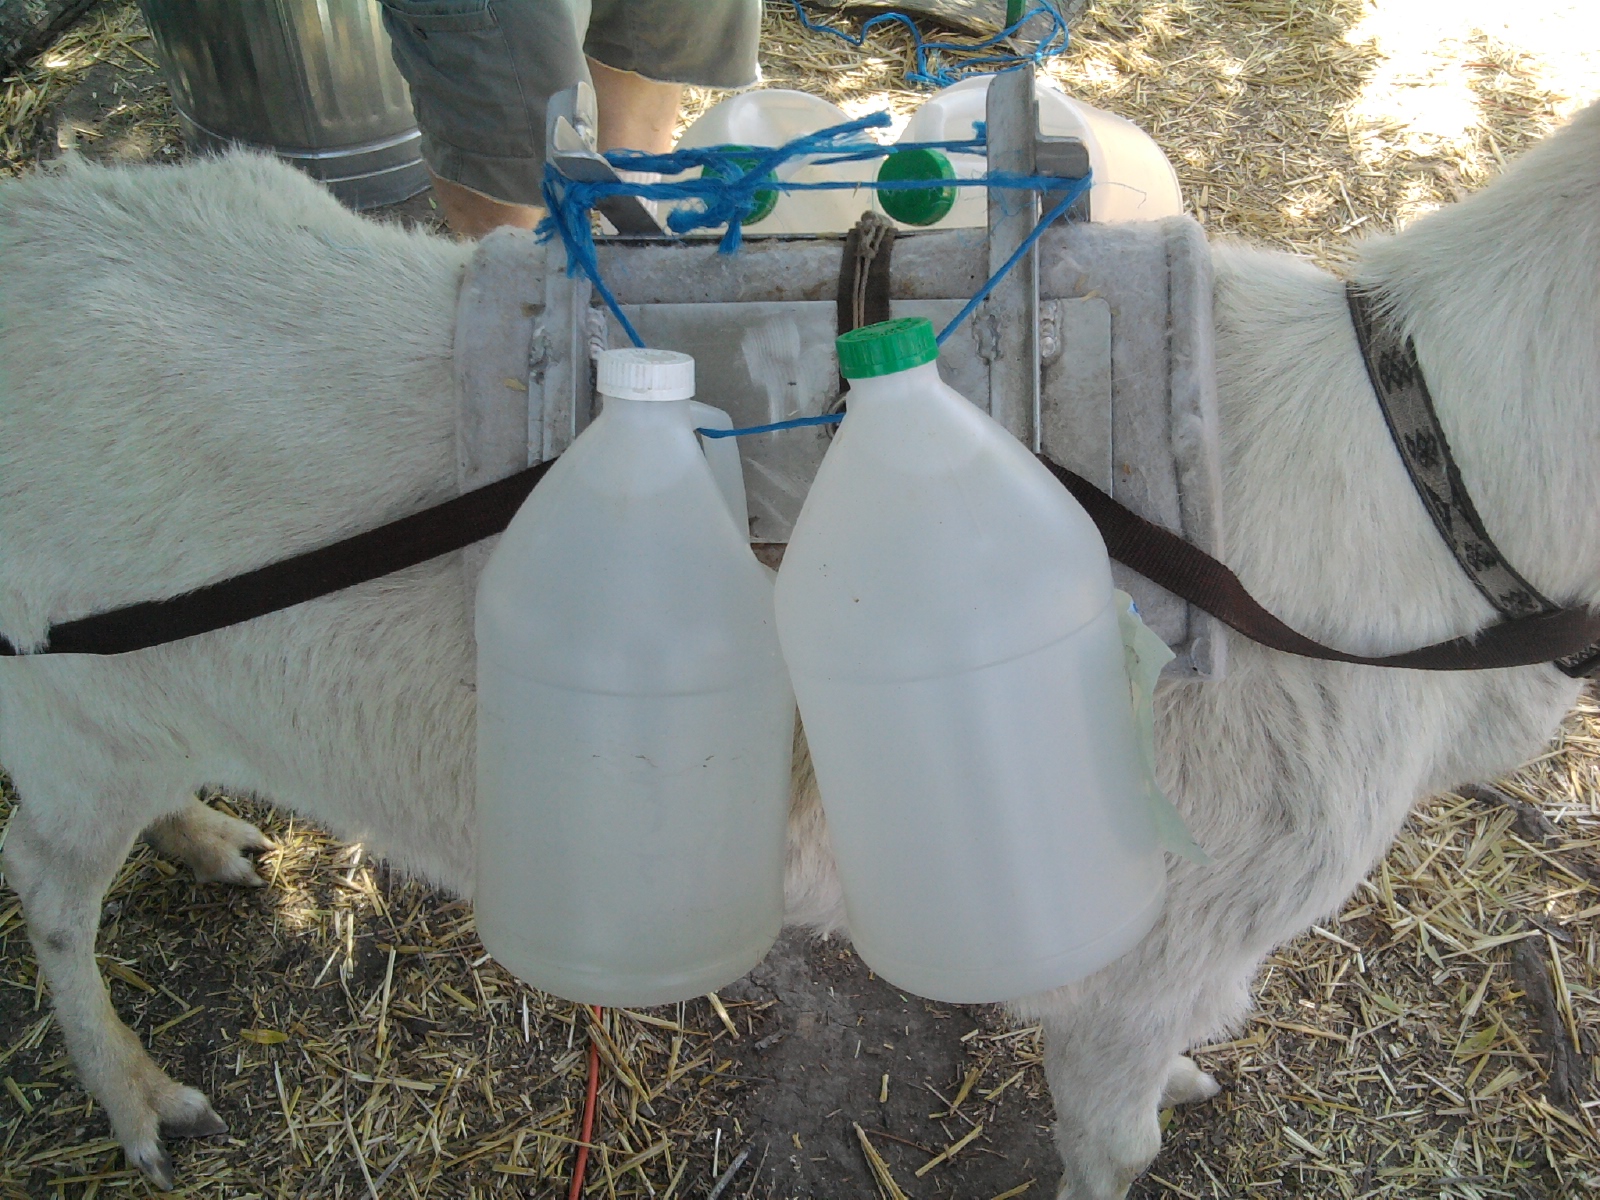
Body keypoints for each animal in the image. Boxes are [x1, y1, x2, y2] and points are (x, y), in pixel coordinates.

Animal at [2, 99, 1597, 1197]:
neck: (1437, 485)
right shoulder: (1150, 951)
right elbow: (1111, 1146)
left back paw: (212, 837)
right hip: (65, 708)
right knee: (50, 887)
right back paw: (138, 1096)